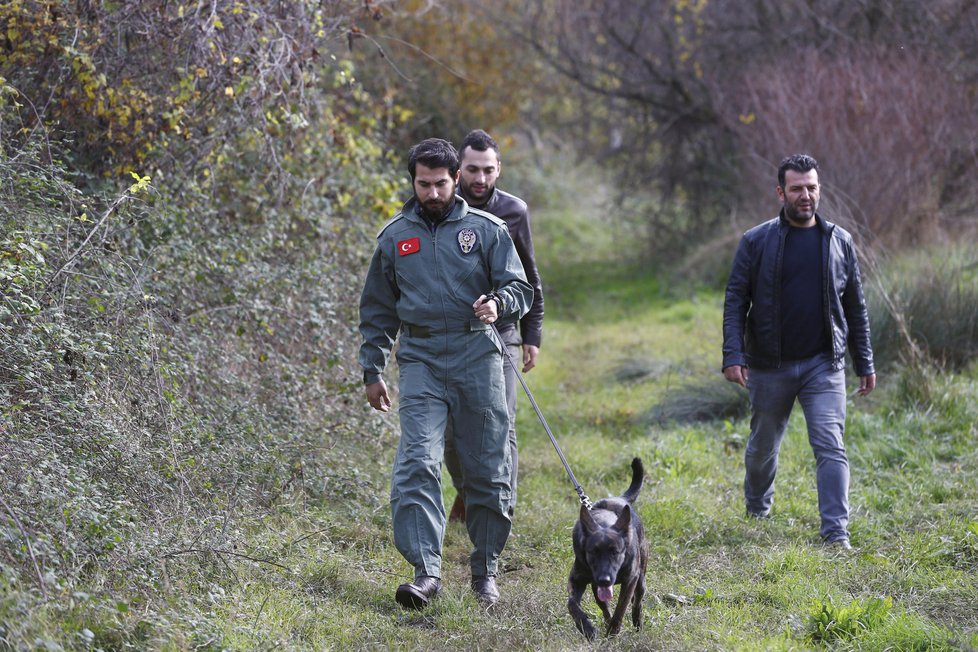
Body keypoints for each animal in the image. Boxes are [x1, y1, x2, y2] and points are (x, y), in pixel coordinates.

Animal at [568, 456, 644, 640]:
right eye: (592, 552)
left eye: (615, 552)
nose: (605, 579)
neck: (604, 522)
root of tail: (621, 498)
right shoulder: (578, 579)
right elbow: (571, 603)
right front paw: (586, 627)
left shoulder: (630, 580)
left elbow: (620, 610)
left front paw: (612, 634)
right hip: (596, 588)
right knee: (603, 607)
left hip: (640, 579)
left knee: (637, 601)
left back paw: (637, 622)